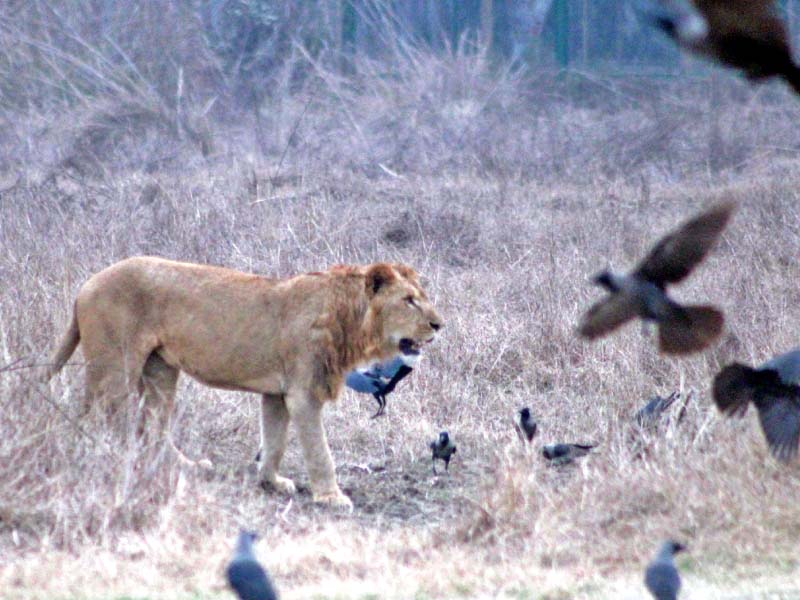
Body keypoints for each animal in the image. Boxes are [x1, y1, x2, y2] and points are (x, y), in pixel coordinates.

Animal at [48, 255, 444, 508]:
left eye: (422, 297)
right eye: (409, 300)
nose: (439, 324)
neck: (350, 319)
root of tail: (86, 285)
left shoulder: (277, 392)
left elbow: (275, 441)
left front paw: (271, 481)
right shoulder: (303, 392)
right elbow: (320, 451)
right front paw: (332, 496)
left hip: (160, 369)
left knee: (154, 425)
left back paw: (184, 466)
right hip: (115, 367)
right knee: (101, 418)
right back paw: (105, 462)